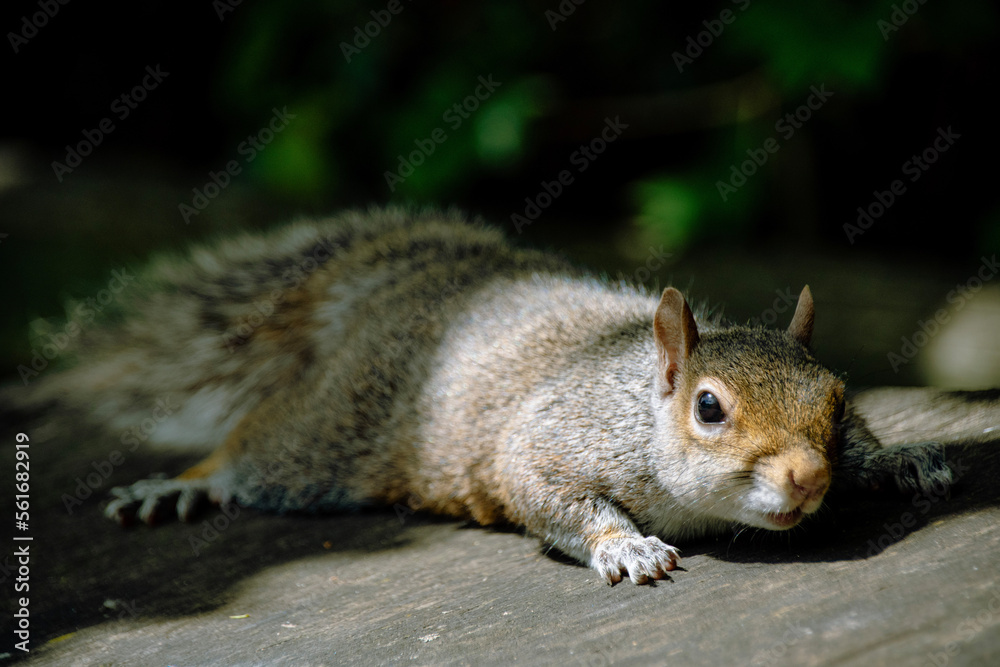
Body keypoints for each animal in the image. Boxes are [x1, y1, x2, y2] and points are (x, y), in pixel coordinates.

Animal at [5, 207, 953, 585]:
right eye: (709, 408)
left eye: (837, 399)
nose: (807, 479)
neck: (635, 399)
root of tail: (411, 291)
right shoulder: (547, 438)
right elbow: (545, 491)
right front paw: (627, 545)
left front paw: (899, 457)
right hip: (325, 444)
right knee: (252, 448)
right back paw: (181, 483)